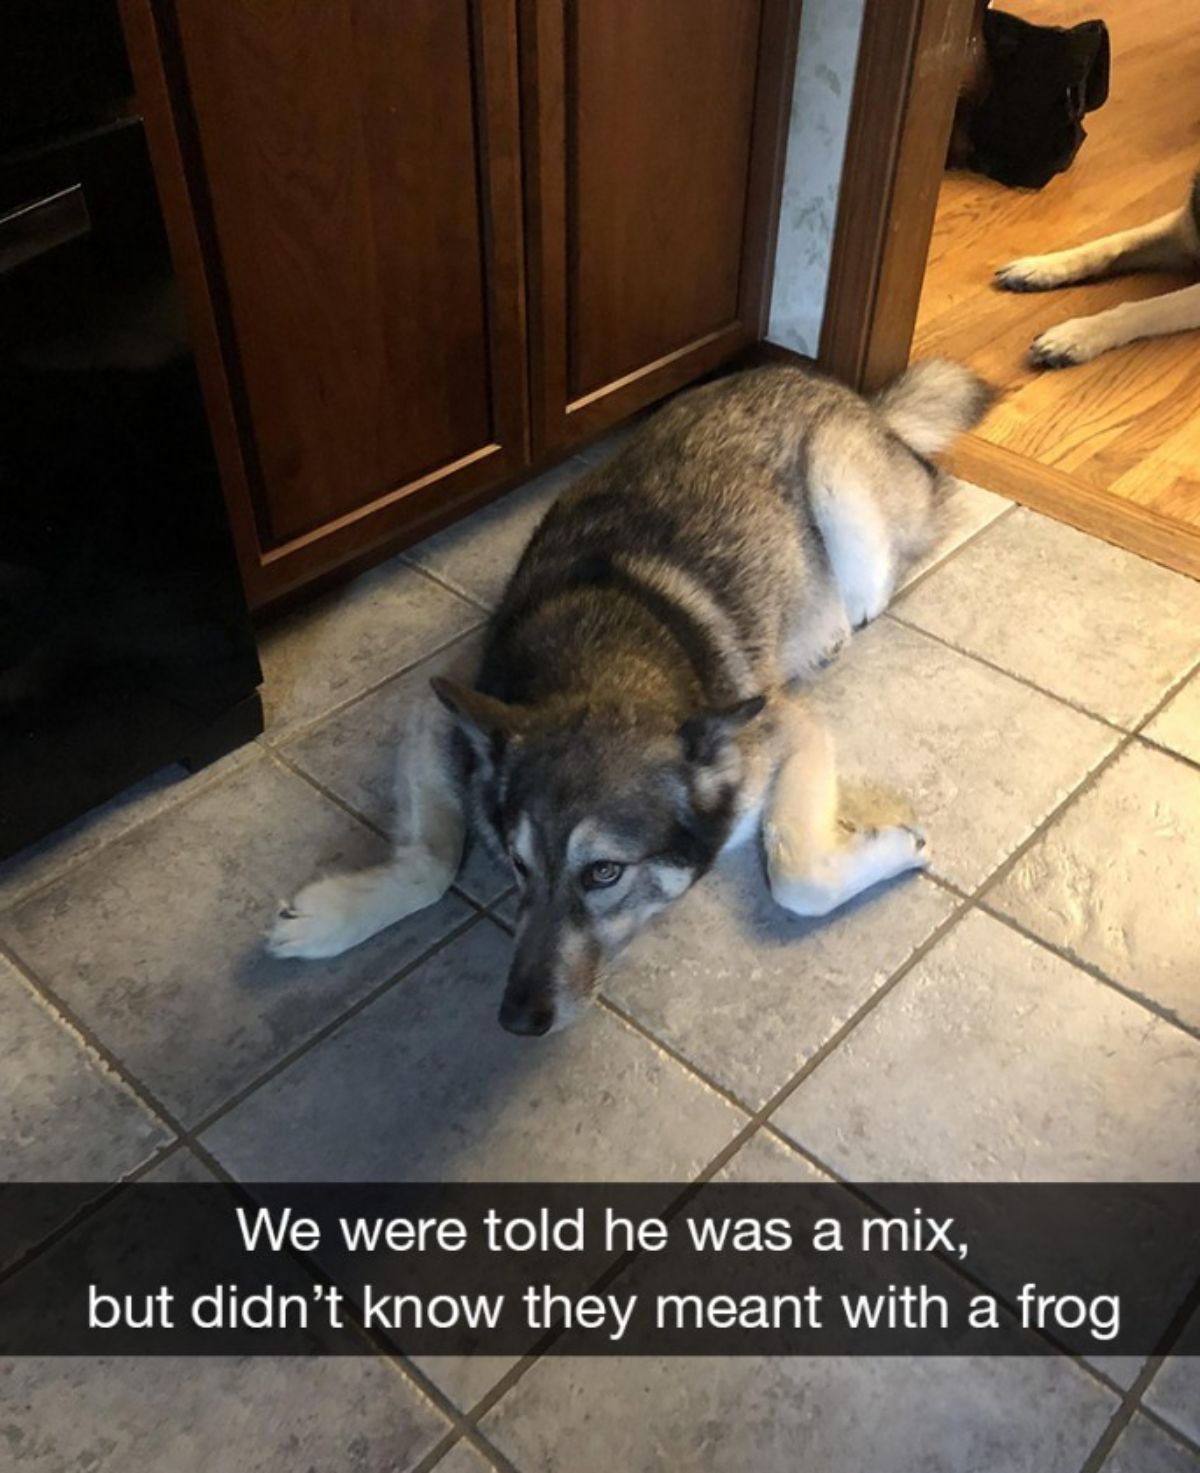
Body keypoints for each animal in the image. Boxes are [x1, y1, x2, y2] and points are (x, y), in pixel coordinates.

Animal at [272, 354, 995, 1031]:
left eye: (604, 873)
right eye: (518, 864)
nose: (517, 1020)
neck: (605, 668)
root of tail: (854, 396)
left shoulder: (787, 728)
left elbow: (798, 877)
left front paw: (891, 848)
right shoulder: (438, 710)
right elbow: (431, 861)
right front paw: (329, 919)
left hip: (838, 484)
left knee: (865, 593)